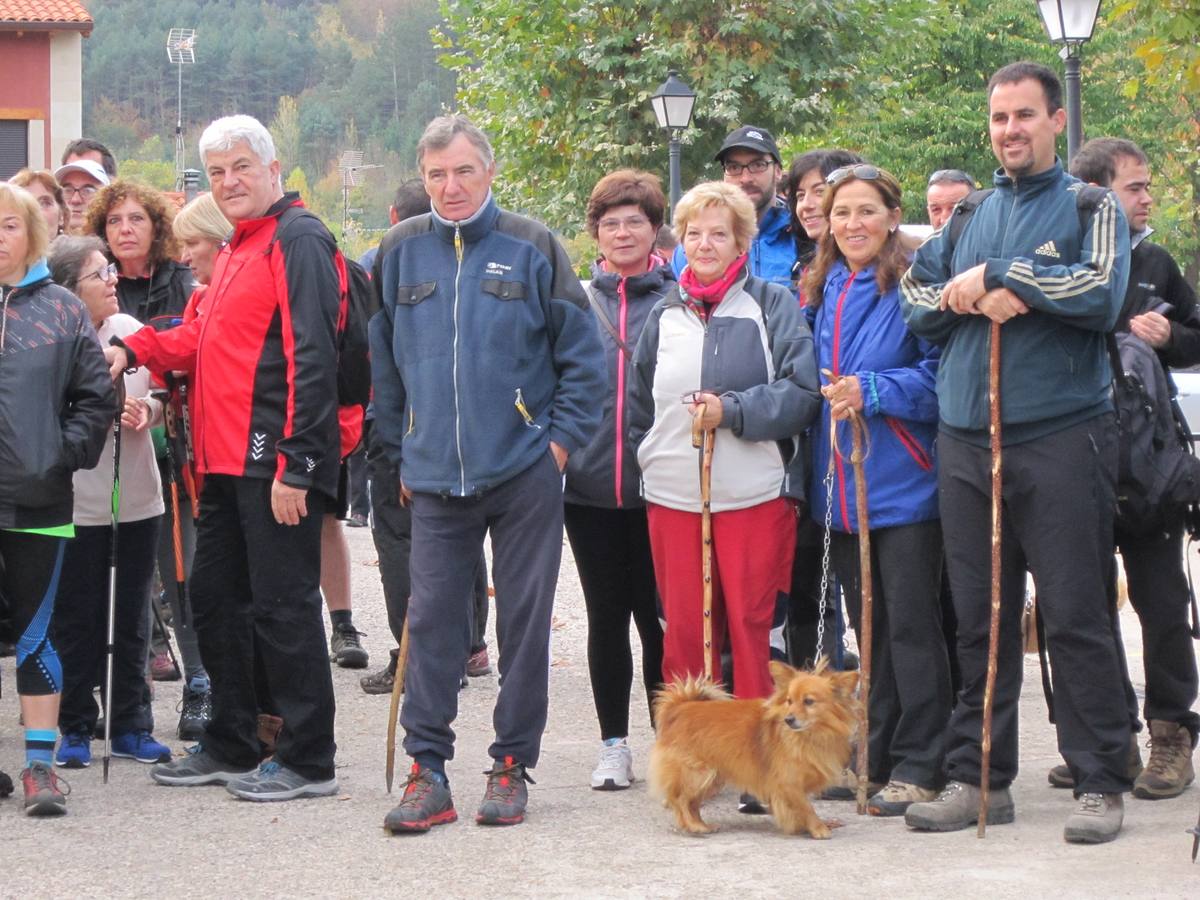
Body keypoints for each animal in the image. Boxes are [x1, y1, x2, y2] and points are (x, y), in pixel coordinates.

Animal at [652, 662, 859, 840]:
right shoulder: (788, 784)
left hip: (713, 777)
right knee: (681, 800)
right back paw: (693, 826)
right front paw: (818, 828)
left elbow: (798, 809)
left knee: (692, 803)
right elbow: (806, 807)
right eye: (789, 701)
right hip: (698, 773)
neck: (809, 736)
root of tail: (679, 707)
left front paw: (804, 826)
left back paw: (702, 824)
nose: (788, 719)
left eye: (808, 702)